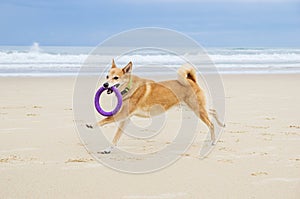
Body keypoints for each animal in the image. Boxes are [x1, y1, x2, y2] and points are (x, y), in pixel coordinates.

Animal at [85, 59, 224, 154]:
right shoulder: (125, 119)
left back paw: (213, 140)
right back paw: (222, 123)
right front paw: (108, 149)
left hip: (196, 109)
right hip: (192, 108)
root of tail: (191, 80)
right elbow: (116, 137)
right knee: (212, 110)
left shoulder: (122, 115)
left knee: (211, 124)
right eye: (107, 76)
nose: (105, 85)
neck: (129, 88)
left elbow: (105, 119)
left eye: (116, 78)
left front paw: (91, 124)